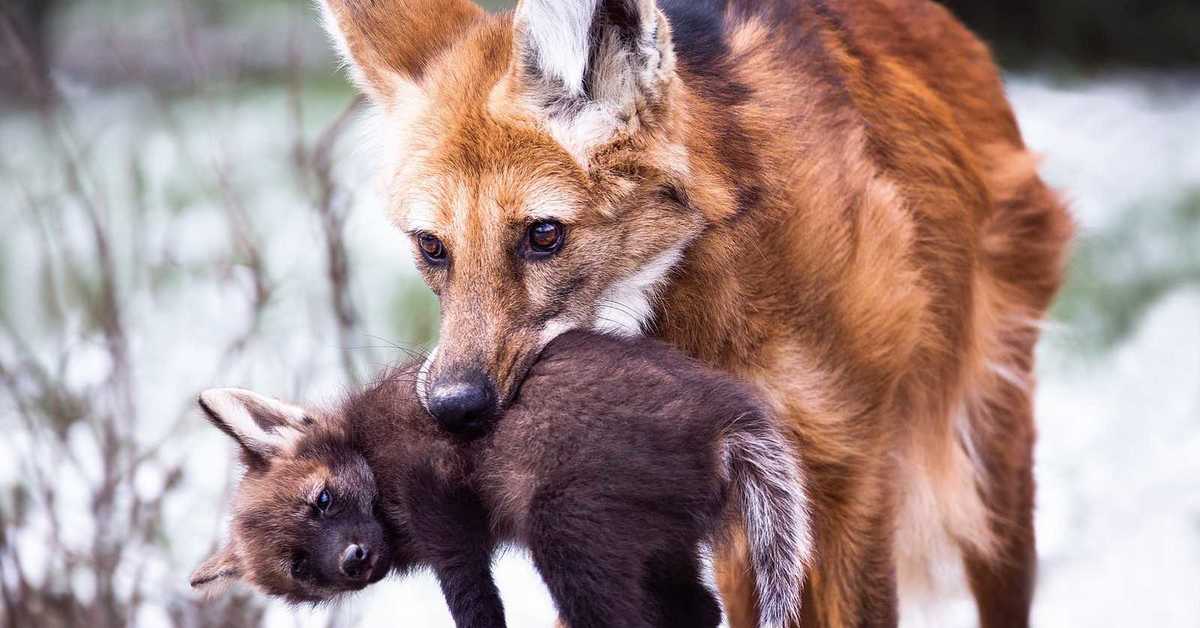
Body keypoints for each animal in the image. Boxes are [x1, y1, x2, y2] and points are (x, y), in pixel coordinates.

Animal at [189, 331, 816, 624]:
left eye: (322, 500)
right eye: (298, 567)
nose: (354, 560)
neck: (368, 445)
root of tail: (727, 422)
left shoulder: (439, 505)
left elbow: (475, 602)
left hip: (566, 528)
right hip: (655, 539)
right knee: (699, 610)